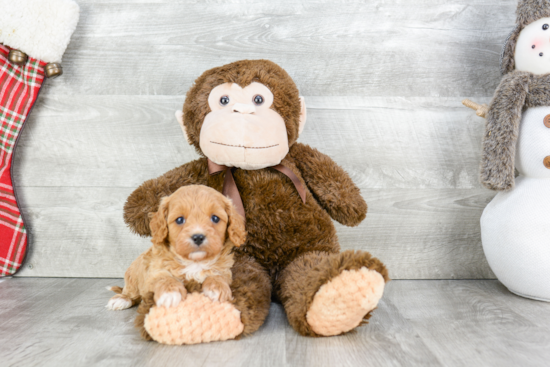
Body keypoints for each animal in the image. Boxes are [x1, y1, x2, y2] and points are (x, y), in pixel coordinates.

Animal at [108, 185, 246, 312]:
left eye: (215, 218)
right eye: (179, 220)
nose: (198, 237)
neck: (195, 262)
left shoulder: (225, 270)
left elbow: (218, 275)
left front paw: (218, 288)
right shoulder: (154, 270)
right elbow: (164, 277)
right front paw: (170, 293)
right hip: (133, 275)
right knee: (131, 292)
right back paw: (121, 299)